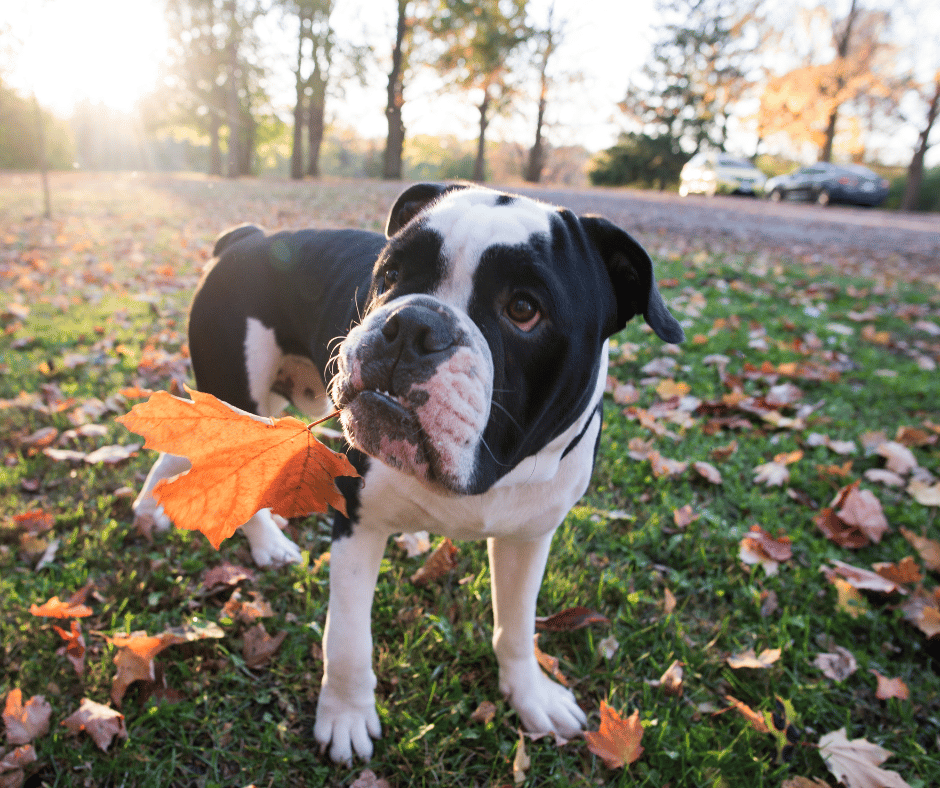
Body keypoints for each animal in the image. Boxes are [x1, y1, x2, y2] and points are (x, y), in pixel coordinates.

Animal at [132, 182, 684, 760]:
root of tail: (248, 238)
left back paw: (150, 507)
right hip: (241, 393)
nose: (415, 323)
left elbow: (515, 625)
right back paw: (263, 543)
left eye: (524, 309)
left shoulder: (529, 538)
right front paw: (347, 715)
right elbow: (347, 638)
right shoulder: (358, 522)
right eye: (391, 275)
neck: (485, 477)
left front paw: (529, 694)